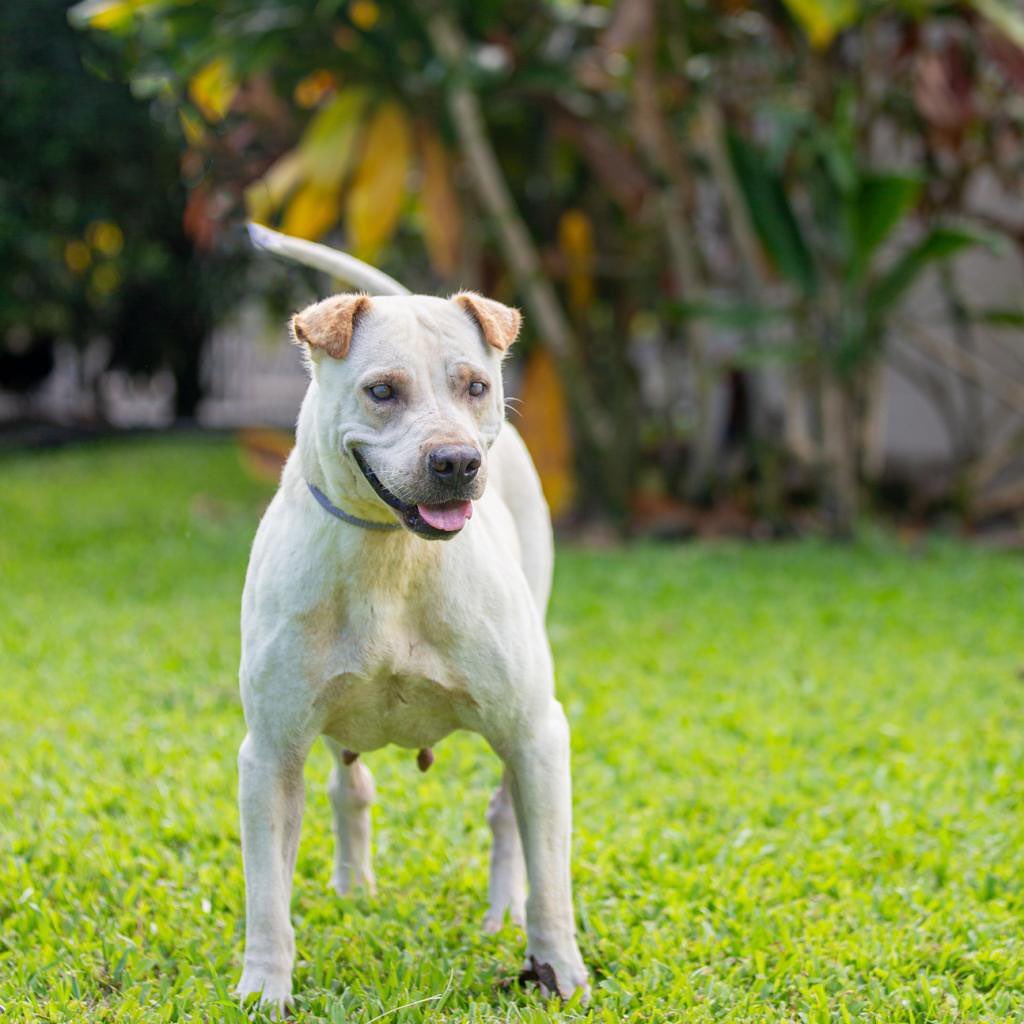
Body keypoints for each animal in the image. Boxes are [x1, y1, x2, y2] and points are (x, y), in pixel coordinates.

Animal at [232, 230, 585, 1007]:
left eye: (474, 387)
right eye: (382, 391)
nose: (454, 461)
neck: (391, 557)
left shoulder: (537, 731)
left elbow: (552, 878)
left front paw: (560, 968)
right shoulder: (270, 750)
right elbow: (267, 892)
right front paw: (265, 986)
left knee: (508, 816)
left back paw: (500, 915)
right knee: (348, 784)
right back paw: (353, 889)